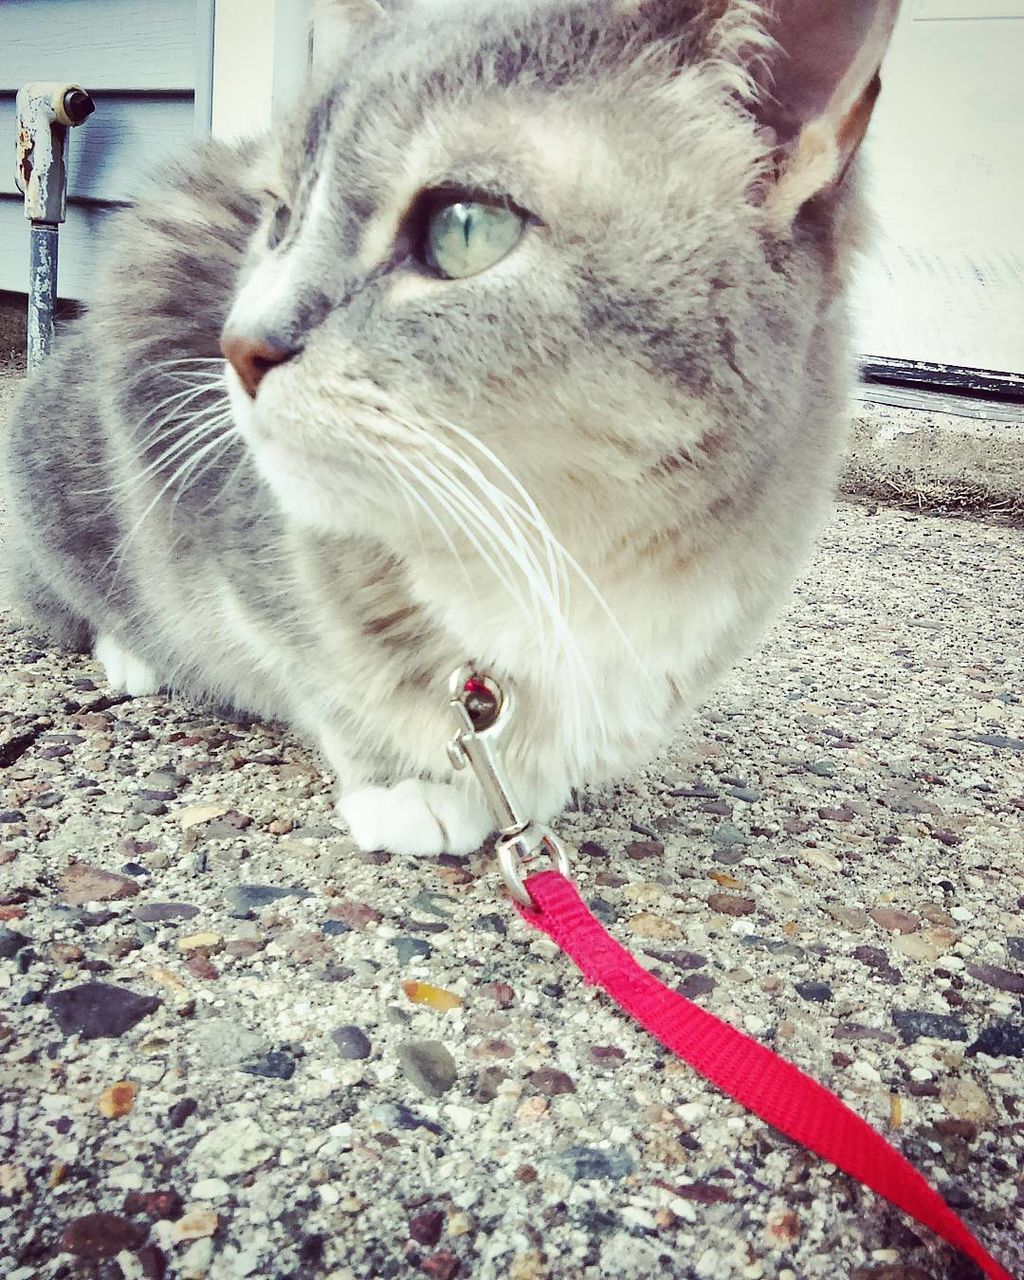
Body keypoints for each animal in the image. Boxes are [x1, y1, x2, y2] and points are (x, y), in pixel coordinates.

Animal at [0, 2, 896, 860]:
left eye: (465, 227)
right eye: (281, 219)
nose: (239, 345)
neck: (561, 557)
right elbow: (320, 669)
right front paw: (410, 785)